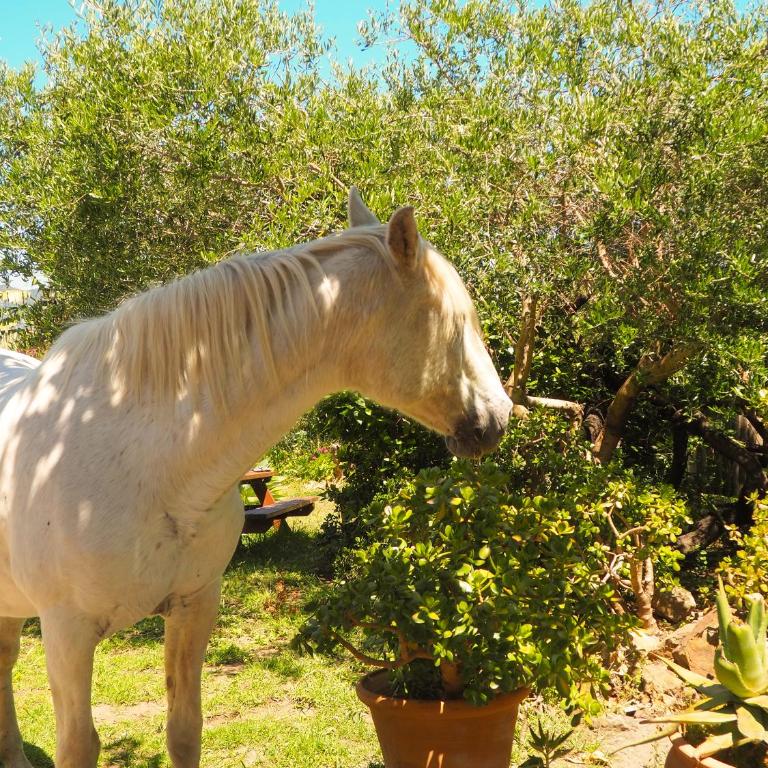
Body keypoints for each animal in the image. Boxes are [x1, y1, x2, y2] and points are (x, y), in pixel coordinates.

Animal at [0, 188, 512, 768]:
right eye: (455, 320)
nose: (500, 416)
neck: (142, 461)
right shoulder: (67, 633)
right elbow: (78, 745)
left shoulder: (194, 605)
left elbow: (184, 729)